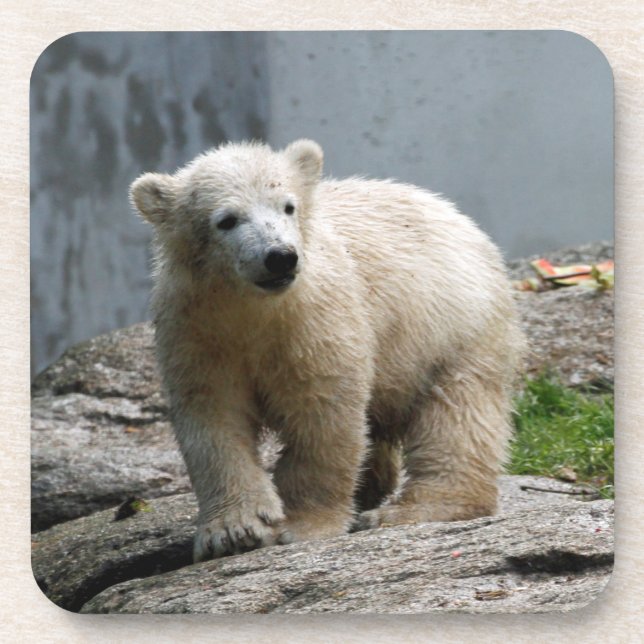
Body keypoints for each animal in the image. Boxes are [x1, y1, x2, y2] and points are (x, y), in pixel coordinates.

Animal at [130, 139, 524, 562]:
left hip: (453, 326)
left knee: (456, 414)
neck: (255, 308)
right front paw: (233, 531)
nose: (280, 256)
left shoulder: (317, 321)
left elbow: (322, 412)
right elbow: (213, 420)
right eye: (227, 219)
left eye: (287, 206)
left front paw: (300, 525)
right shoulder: (197, 331)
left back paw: (413, 508)